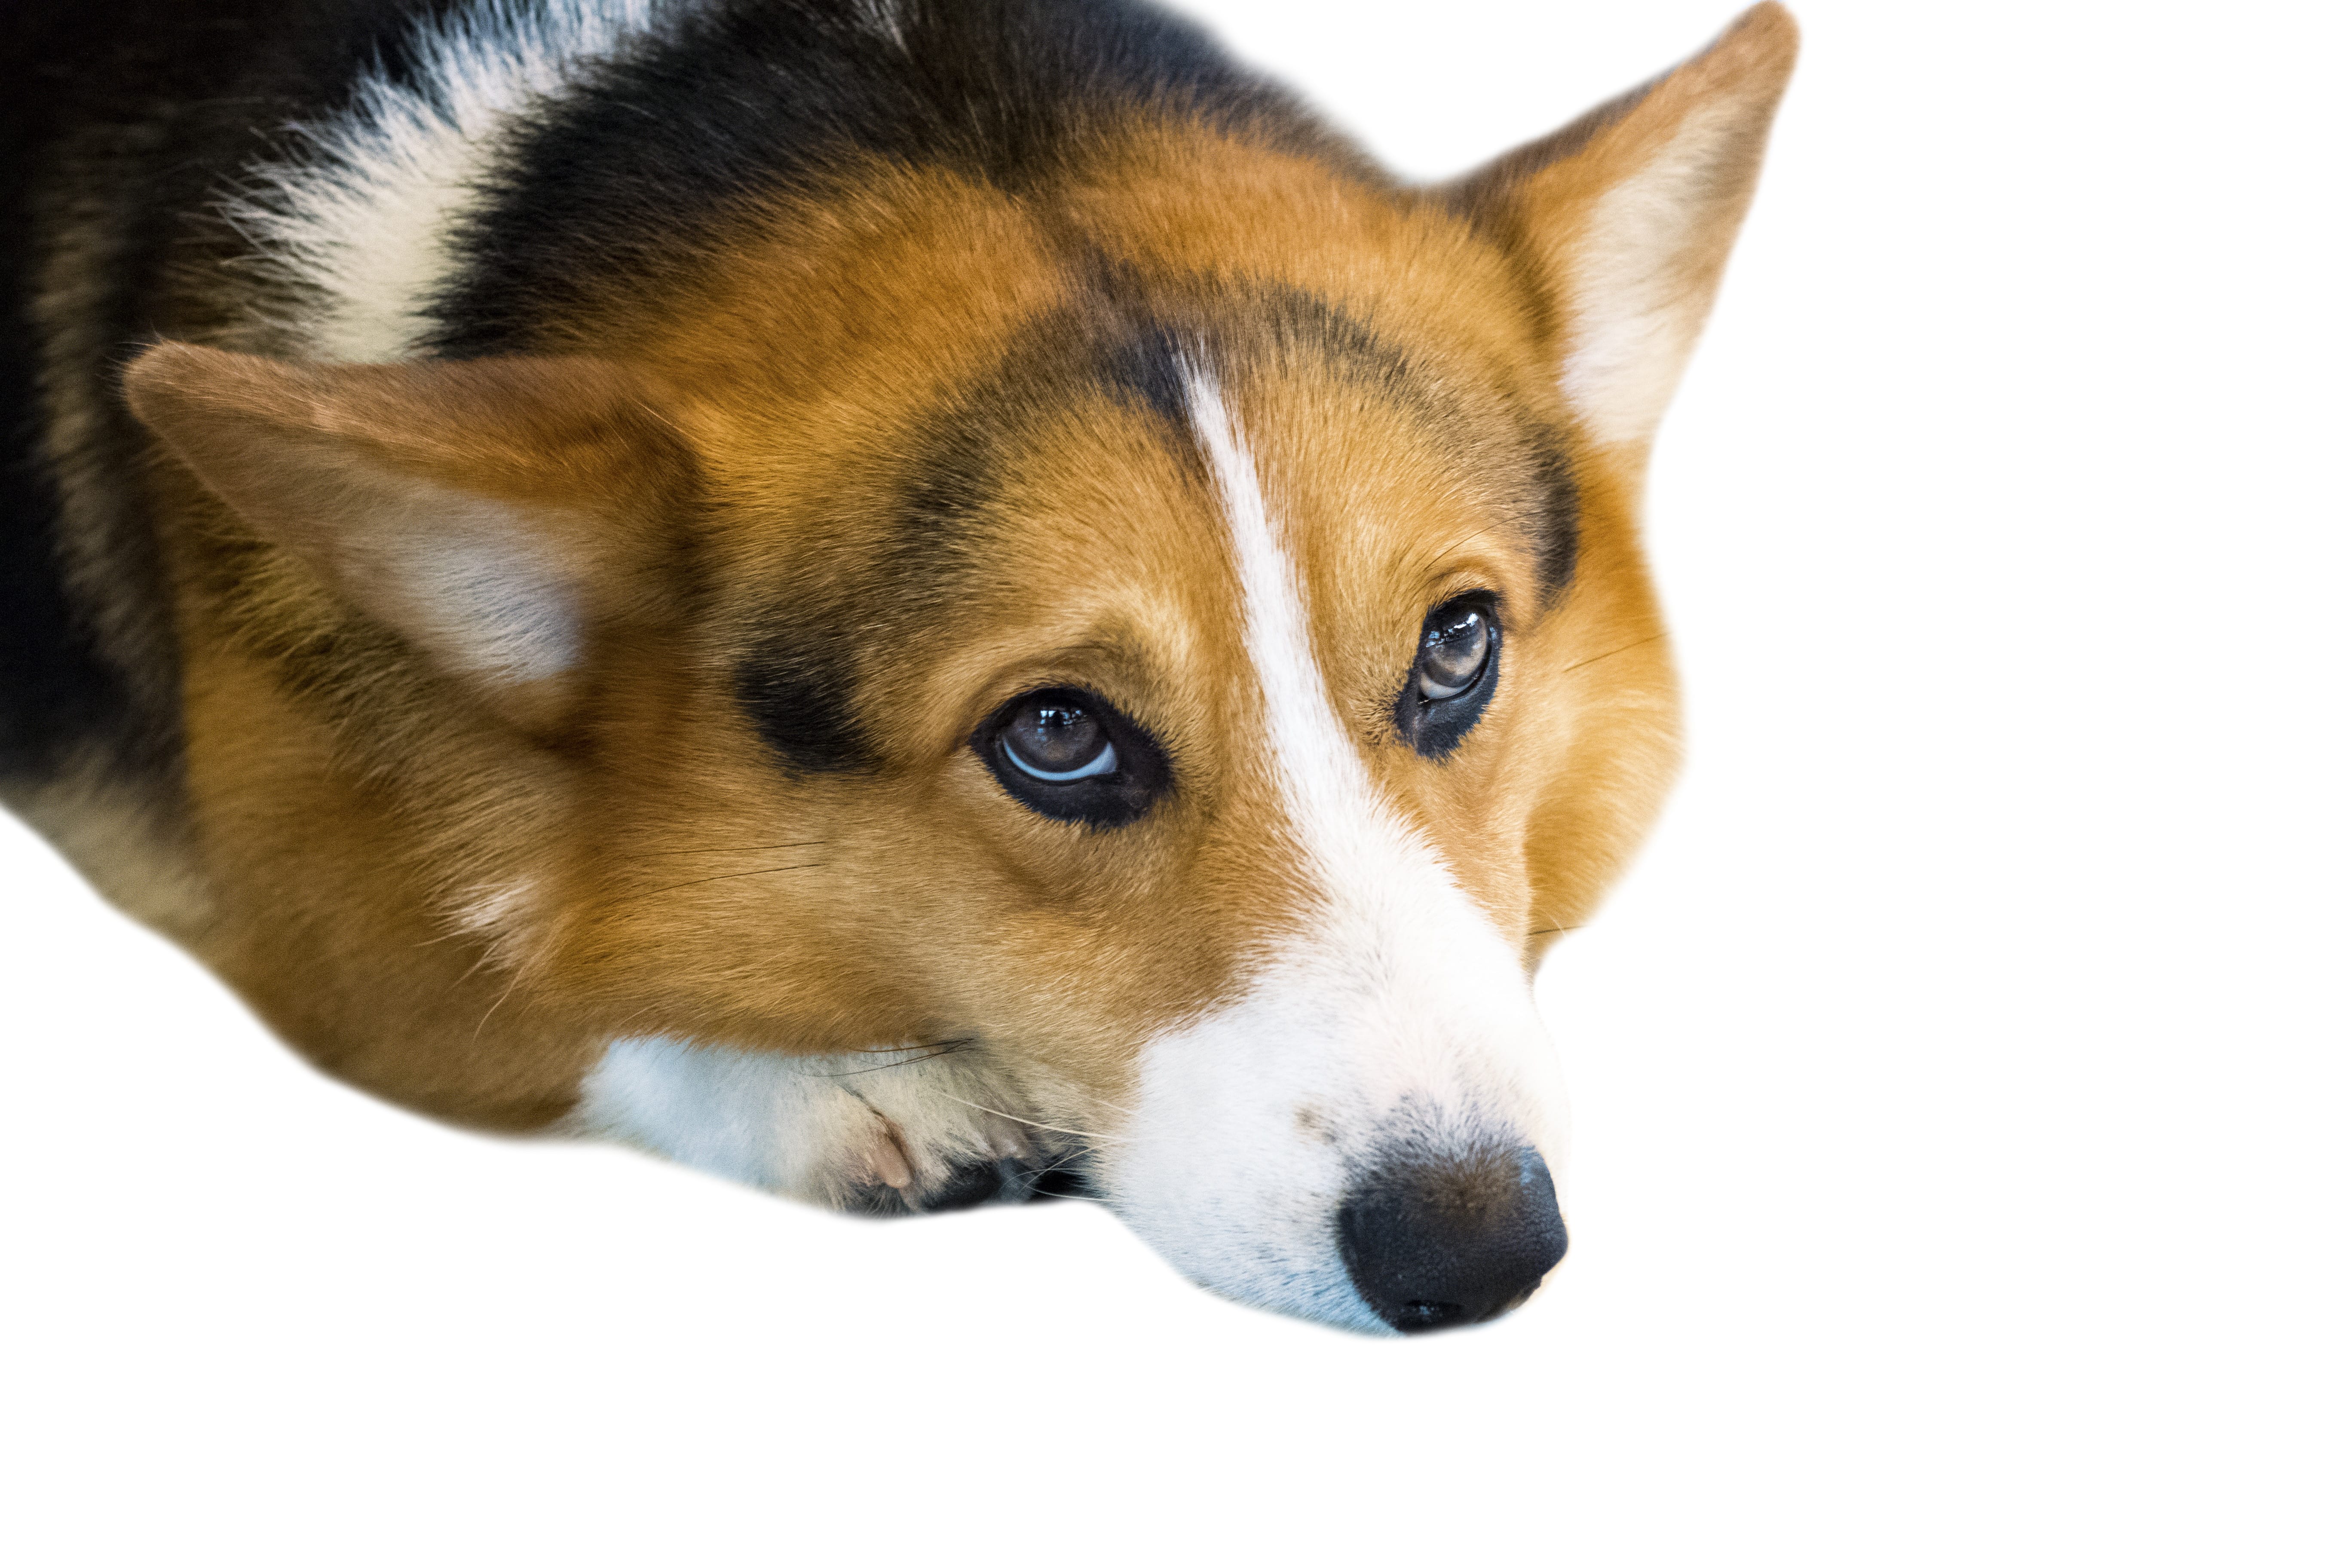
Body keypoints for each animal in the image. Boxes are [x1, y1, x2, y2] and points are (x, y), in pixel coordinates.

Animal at [4, 0, 1797, 1335]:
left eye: (1457, 645)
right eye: (1057, 734)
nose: (1478, 1252)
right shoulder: (295, 877)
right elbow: (519, 981)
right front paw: (863, 1092)